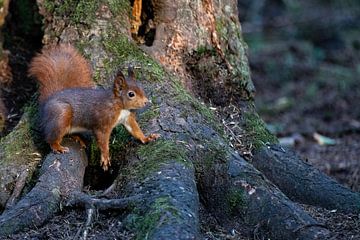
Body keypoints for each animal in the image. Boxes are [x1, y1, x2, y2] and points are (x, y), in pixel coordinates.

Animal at [28, 43, 161, 171]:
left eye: (141, 87)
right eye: (131, 94)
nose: (146, 102)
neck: (119, 106)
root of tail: (46, 103)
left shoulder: (127, 118)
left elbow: (135, 131)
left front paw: (147, 138)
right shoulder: (102, 124)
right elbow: (103, 141)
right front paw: (105, 157)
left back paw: (77, 138)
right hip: (61, 115)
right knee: (50, 137)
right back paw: (58, 146)